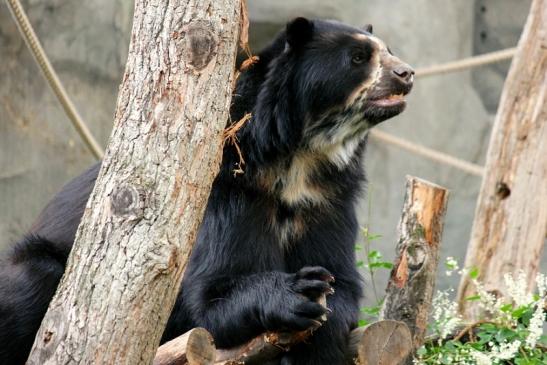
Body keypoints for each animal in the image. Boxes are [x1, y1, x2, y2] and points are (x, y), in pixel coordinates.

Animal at [0, 16, 414, 362]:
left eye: (389, 50)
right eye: (358, 58)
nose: (407, 73)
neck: (298, 160)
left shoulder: (327, 201)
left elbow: (340, 279)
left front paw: (317, 340)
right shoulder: (226, 191)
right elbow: (213, 292)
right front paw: (297, 291)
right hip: (35, 265)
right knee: (30, 285)